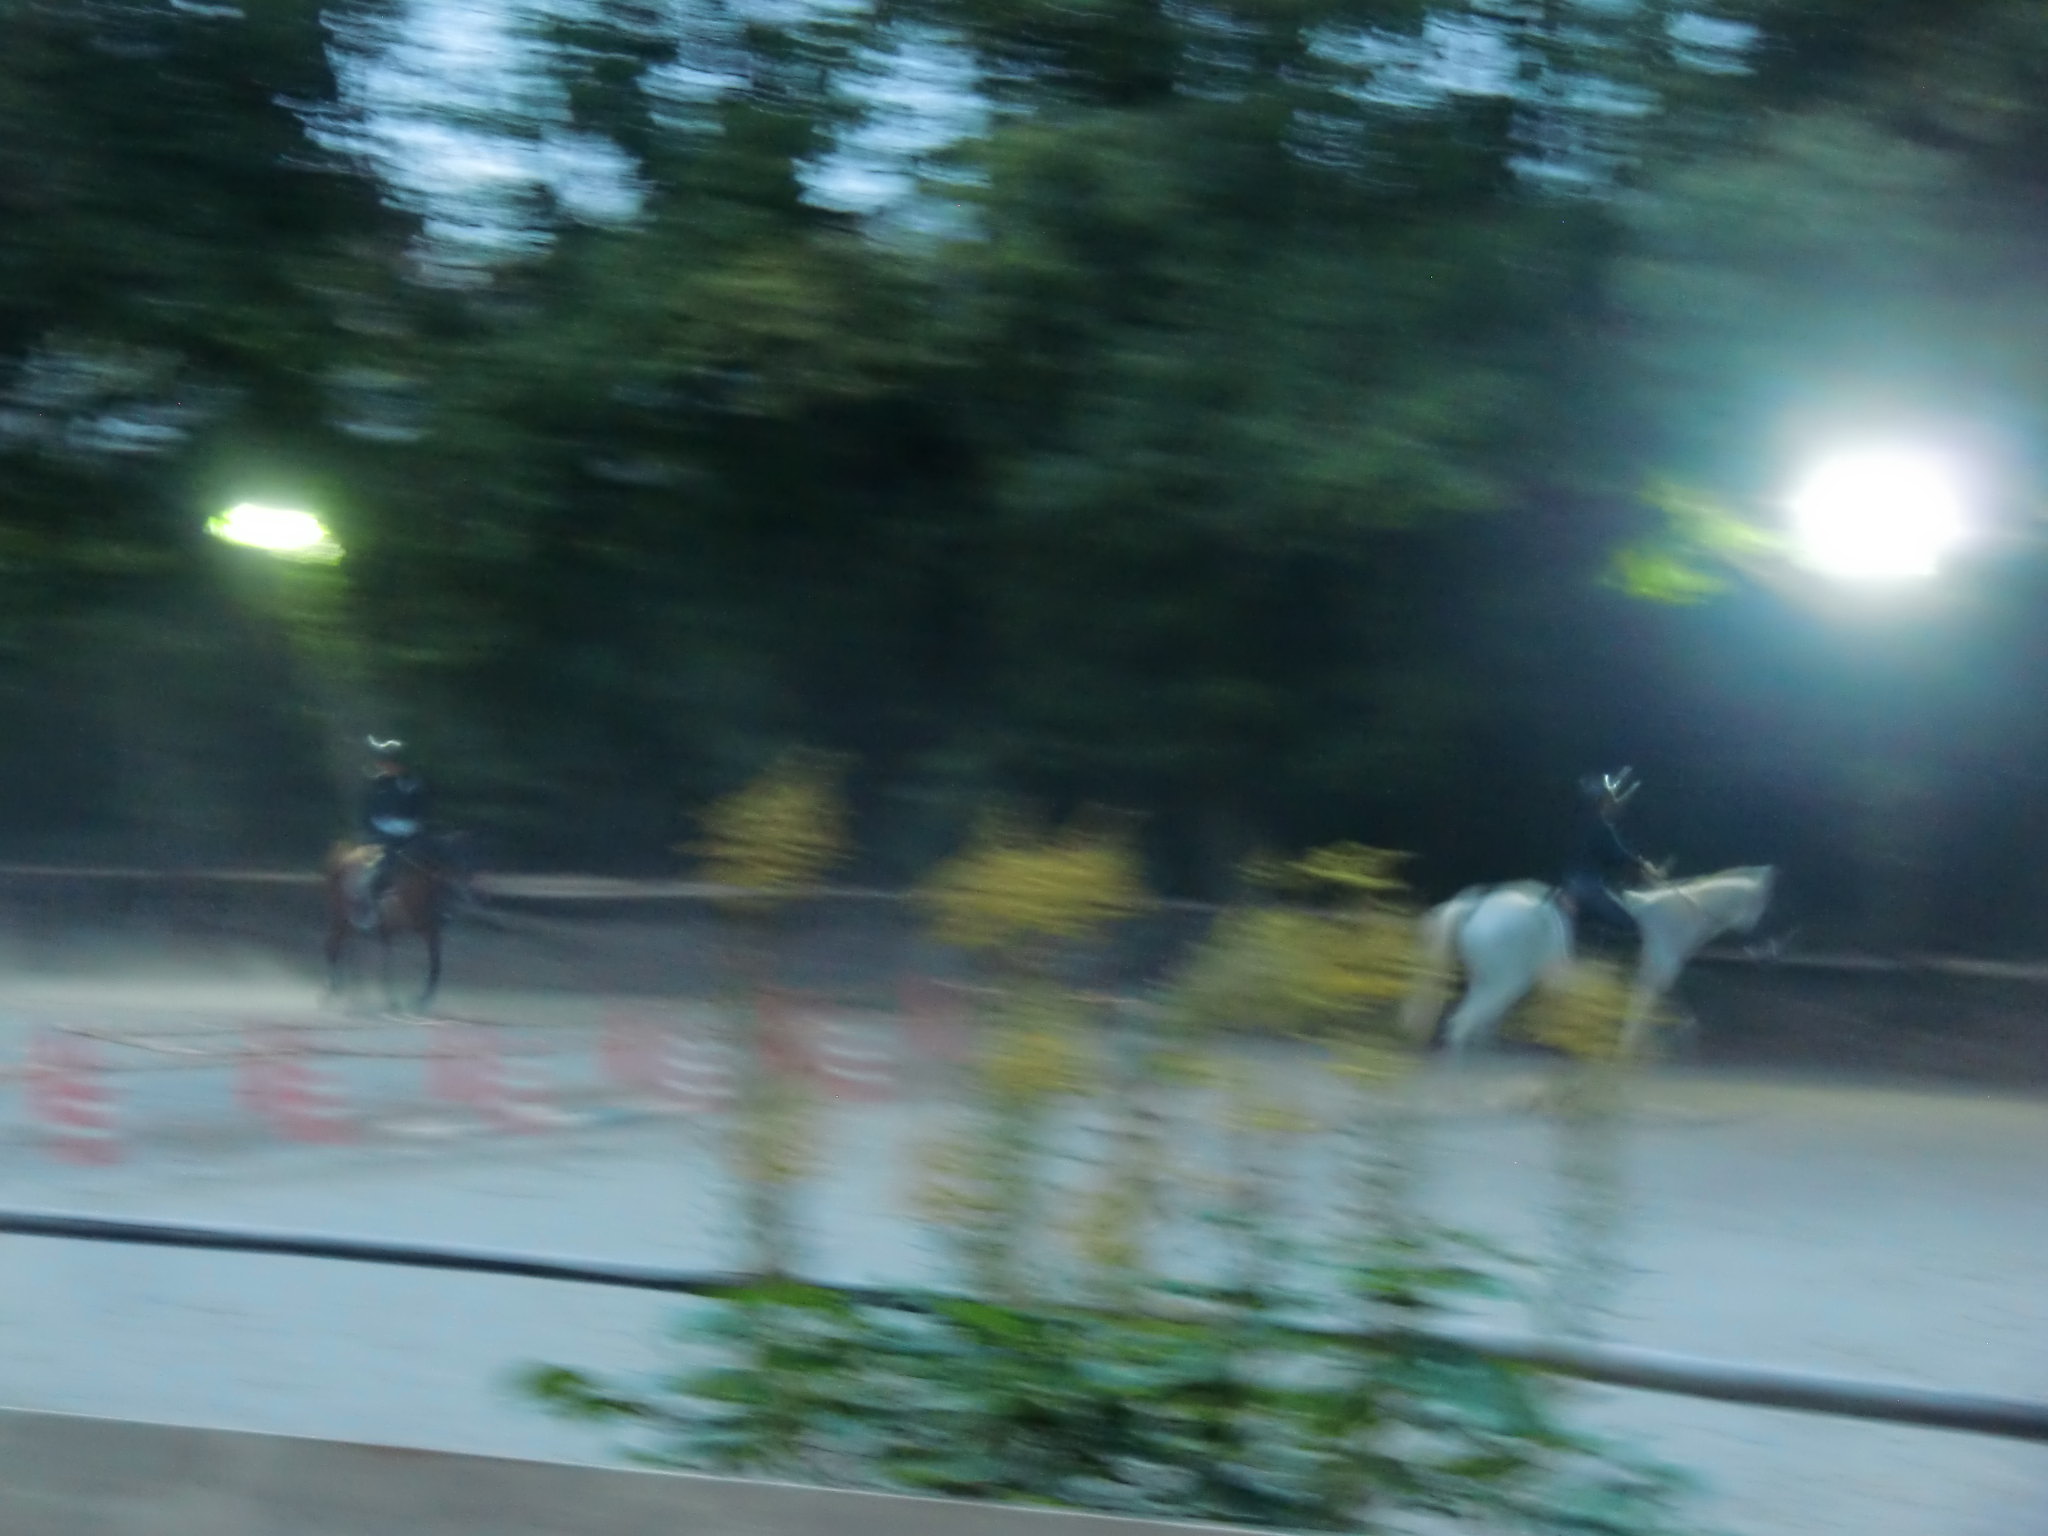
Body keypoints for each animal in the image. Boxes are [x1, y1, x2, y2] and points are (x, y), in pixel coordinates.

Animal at [322, 835, 471, 1014]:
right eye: (452, 861)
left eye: (464, 862)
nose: (463, 894)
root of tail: (344, 855)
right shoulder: (393, 928)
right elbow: (390, 964)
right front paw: (404, 1001)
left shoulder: (426, 929)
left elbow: (434, 963)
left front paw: (420, 1000)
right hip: (340, 918)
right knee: (333, 948)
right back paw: (334, 991)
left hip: (346, 921)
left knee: (343, 948)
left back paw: (345, 990)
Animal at [1402, 866, 1777, 1059]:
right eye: (1764, 905)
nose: (1767, 948)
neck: (1672, 918)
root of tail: (1478, 906)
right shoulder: (1647, 984)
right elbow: (1636, 1026)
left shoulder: (1651, 987)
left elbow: (1674, 1018)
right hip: (1503, 984)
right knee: (1463, 1026)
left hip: (1489, 983)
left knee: (1476, 1028)